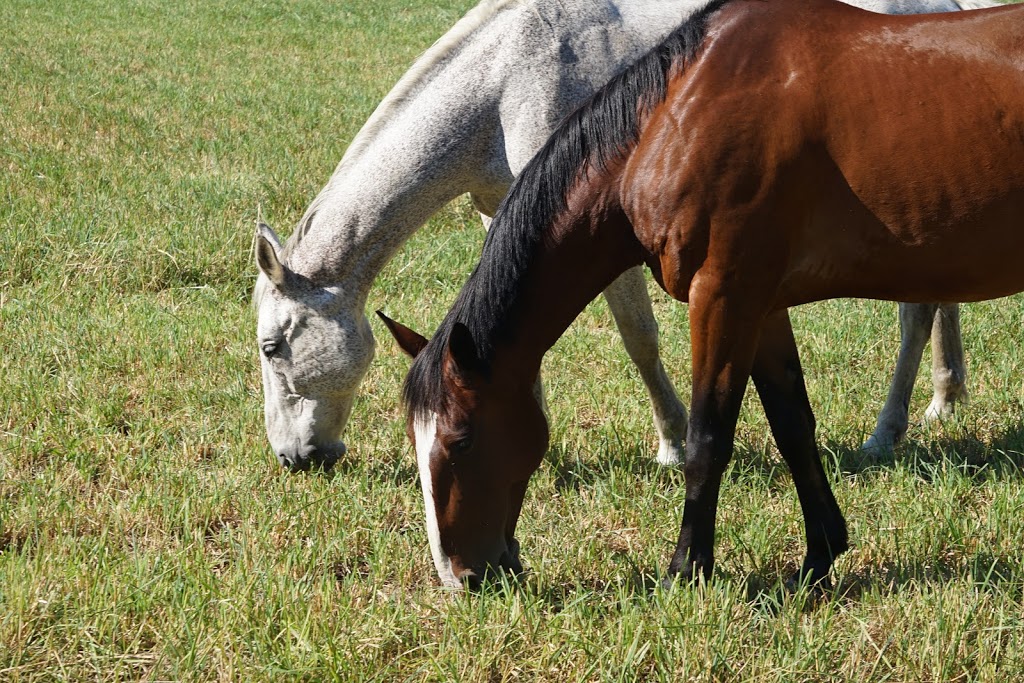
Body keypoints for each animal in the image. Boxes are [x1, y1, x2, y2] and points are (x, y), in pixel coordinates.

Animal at [249, 0, 991, 473]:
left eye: (270, 346)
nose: (292, 459)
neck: (504, 79)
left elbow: (639, 336)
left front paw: (671, 444)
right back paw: (944, 396)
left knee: (915, 314)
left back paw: (886, 431)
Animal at [380, 0, 1024, 589]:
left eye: (460, 441)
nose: (460, 577)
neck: (674, 120)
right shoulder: (763, 307)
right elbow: (793, 426)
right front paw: (818, 558)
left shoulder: (722, 297)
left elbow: (706, 439)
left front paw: (685, 571)